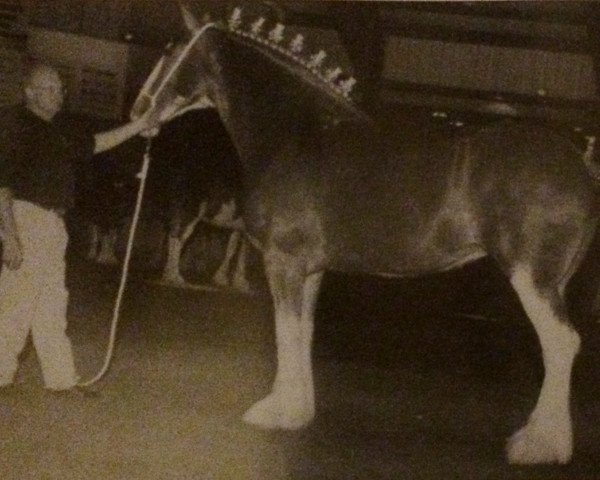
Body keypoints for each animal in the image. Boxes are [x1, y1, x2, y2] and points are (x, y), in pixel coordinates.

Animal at [131, 7, 600, 464]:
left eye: (171, 48)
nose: (138, 110)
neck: (295, 133)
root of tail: (580, 166)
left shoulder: (282, 262)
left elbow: (285, 330)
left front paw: (275, 411)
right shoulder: (310, 270)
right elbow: (303, 331)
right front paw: (298, 411)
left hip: (531, 279)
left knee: (561, 344)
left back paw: (538, 445)